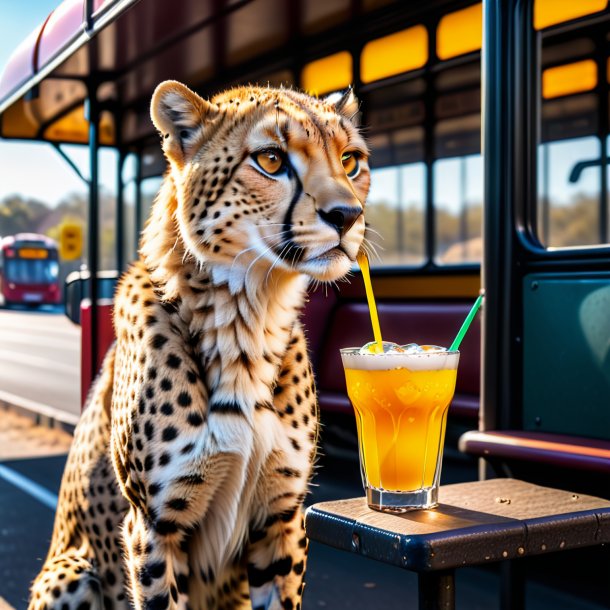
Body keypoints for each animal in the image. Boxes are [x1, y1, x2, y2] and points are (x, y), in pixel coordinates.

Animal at [28, 82, 368, 608]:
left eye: (350, 160)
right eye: (271, 159)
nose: (348, 216)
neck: (248, 321)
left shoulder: (283, 517)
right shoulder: (153, 526)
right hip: (70, 571)